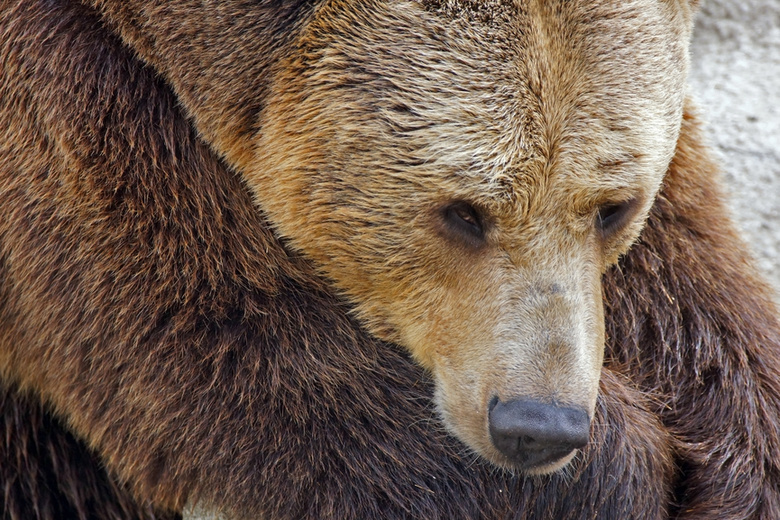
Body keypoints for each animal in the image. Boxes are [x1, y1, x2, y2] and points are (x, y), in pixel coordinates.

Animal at [0, 1, 776, 520]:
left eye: (614, 206)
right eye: (463, 211)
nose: (537, 426)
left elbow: (693, 303)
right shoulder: (71, 115)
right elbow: (229, 336)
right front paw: (619, 477)